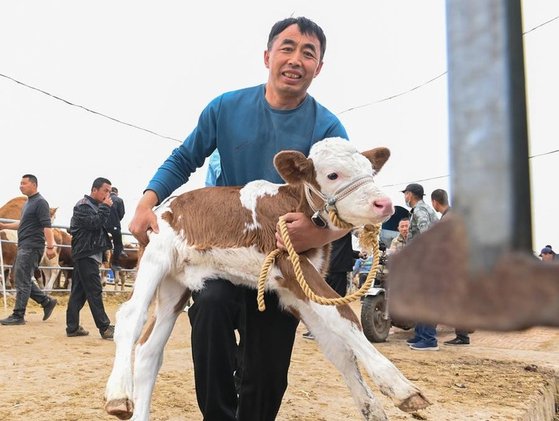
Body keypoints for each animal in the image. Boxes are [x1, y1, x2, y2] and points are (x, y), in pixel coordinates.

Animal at [104, 138, 428, 420]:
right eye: (332, 174)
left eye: (369, 170)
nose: (383, 203)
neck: (294, 206)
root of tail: (164, 207)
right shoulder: (291, 264)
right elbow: (344, 314)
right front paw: (400, 386)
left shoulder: (294, 289)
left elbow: (338, 346)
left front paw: (372, 407)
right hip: (155, 259)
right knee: (131, 317)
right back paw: (119, 394)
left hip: (175, 284)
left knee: (149, 349)